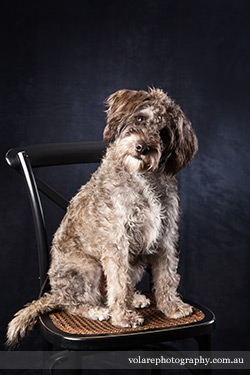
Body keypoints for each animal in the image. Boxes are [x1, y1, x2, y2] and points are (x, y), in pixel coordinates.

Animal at [7, 87, 197, 346]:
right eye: (140, 119)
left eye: (164, 132)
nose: (142, 147)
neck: (143, 178)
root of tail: (53, 293)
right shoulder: (117, 242)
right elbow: (119, 283)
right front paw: (123, 317)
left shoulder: (165, 236)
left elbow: (167, 276)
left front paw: (172, 307)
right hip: (88, 268)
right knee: (73, 303)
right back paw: (98, 310)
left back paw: (134, 298)